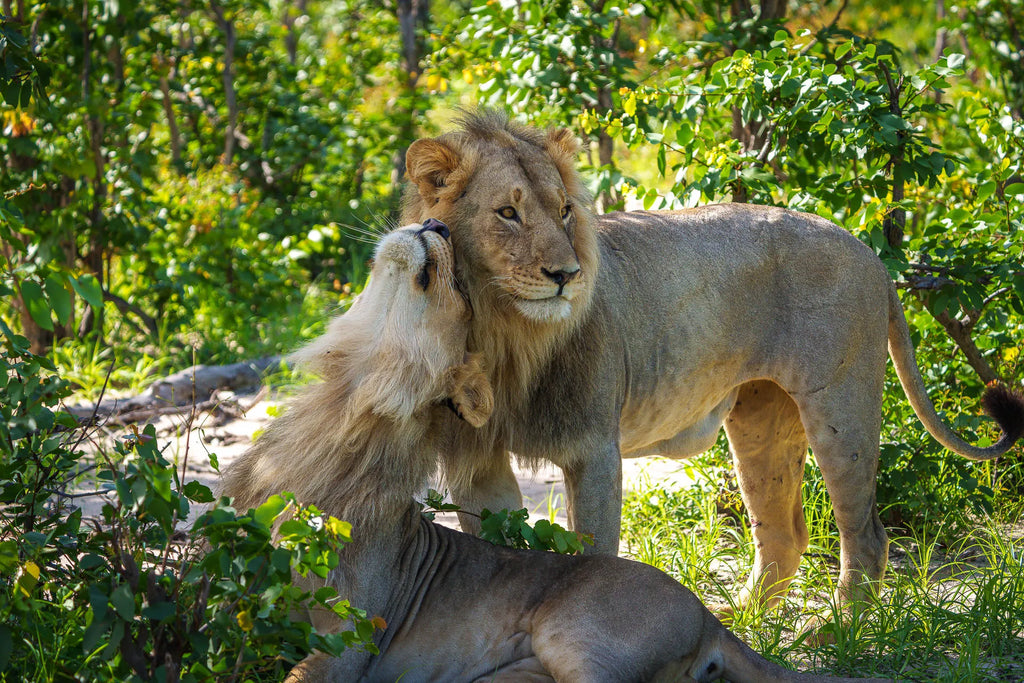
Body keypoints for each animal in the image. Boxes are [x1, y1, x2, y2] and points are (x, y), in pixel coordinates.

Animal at [221, 222, 887, 683]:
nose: (437, 225)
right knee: (782, 532)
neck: (345, 402)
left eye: (458, 287)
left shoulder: (348, 646)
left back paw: (842, 621)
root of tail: (708, 617)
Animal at [400, 111, 1024, 612]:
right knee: (784, 536)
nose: (566, 275)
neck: (504, 332)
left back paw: (836, 632)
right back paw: (744, 622)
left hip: (841, 405)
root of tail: (870, 252)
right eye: (507, 212)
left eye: (565, 211)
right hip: (761, 418)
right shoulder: (478, 459)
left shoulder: (592, 448)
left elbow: (596, 554)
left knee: (867, 535)